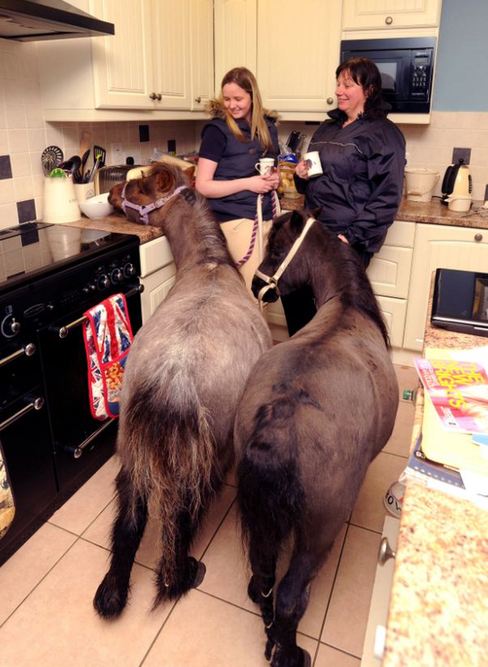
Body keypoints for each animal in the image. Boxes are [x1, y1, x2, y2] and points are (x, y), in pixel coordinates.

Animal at [93, 163, 272, 618]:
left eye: (138, 186)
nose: (113, 194)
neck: (209, 264)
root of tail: (173, 381)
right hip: (208, 457)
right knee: (184, 516)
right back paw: (183, 573)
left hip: (131, 446)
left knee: (130, 518)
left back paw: (112, 594)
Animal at [234, 209, 399, 667]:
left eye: (275, 249)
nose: (256, 284)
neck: (345, 306)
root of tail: (280, 417)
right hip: (319, 532)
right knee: (291, 595)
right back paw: (289, 650)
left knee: (264, 575)